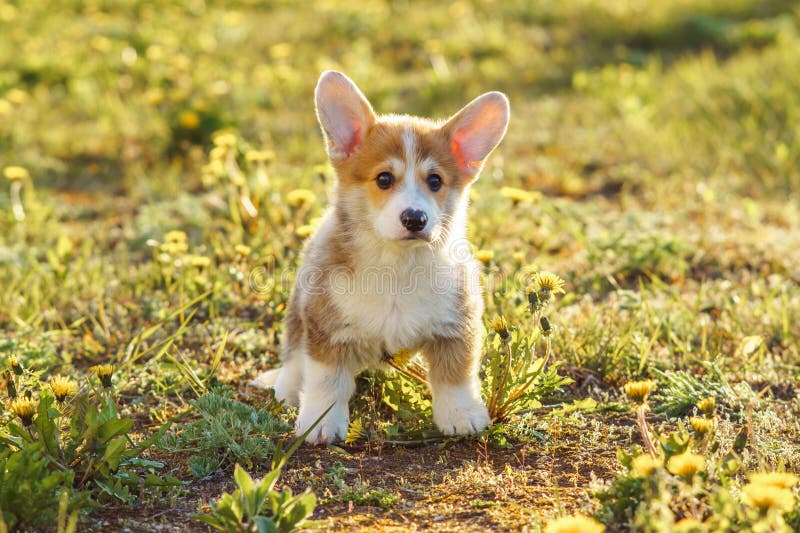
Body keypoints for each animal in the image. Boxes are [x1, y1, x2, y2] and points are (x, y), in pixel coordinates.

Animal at [253, 71, 510, 444]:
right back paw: (286, 391)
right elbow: (327, 382)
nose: (415, 218)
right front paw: (320, 424)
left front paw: (462, 416)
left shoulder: (456, 324)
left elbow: (455, 375)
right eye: (384, 178)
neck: (396, 267)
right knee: (295, 358)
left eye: (435, 181)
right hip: (298, 314)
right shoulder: (326, 328)